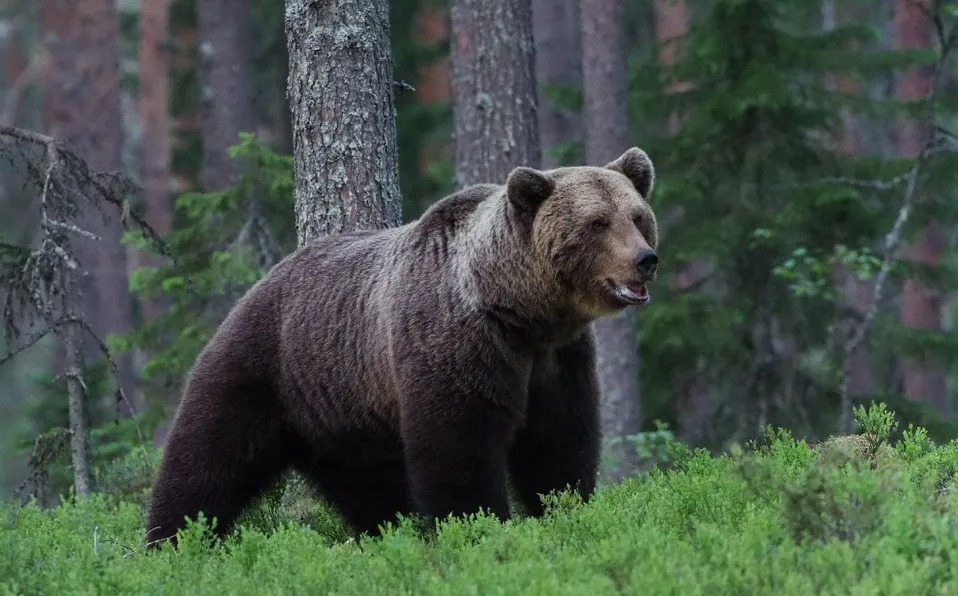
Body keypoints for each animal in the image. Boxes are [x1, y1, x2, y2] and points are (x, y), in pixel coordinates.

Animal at [146, 146, 664, 544]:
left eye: (638, 217)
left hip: (342, 413)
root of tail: (260, 282)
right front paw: (477, 526)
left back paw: (387, 531)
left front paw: (563, 507)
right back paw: (172, 541)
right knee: (206, 460)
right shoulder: (459, 342)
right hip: (263, 365)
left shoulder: (557, 359)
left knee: (369, 487)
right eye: (597, 223)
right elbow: (459, 446)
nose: (646, 259)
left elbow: (558, 442)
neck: (520, 311)